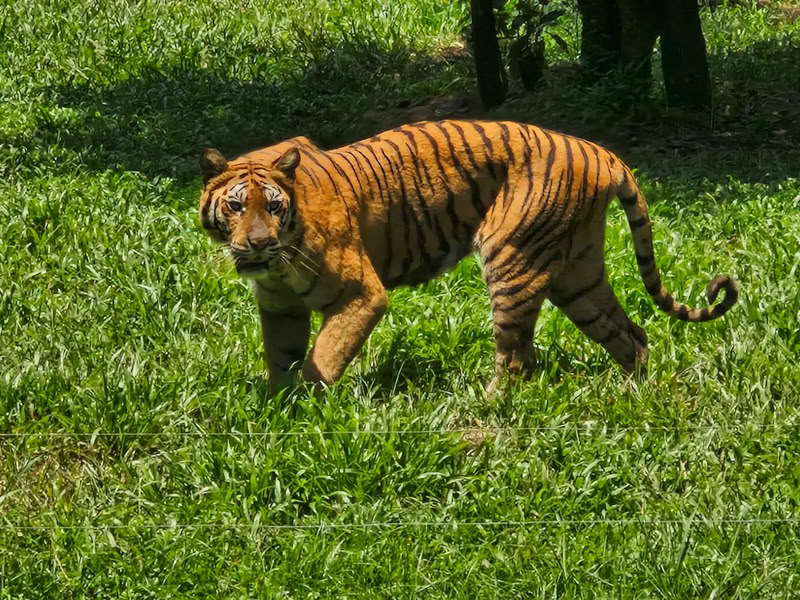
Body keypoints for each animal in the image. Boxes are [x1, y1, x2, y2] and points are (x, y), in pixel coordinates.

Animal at [198, 119, 738, 391]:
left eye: (273, 206)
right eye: (236, 206)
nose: (257, 244)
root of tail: (601, 153)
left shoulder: (361, 296)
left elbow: (323, 358)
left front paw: (310, 409)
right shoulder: (280, 307)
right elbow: (281, 359)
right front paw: (280, 409)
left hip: (511, 257)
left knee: (518, 360)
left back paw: (487, 406)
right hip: (577, 276)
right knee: (630, 333)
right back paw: (633, 392)